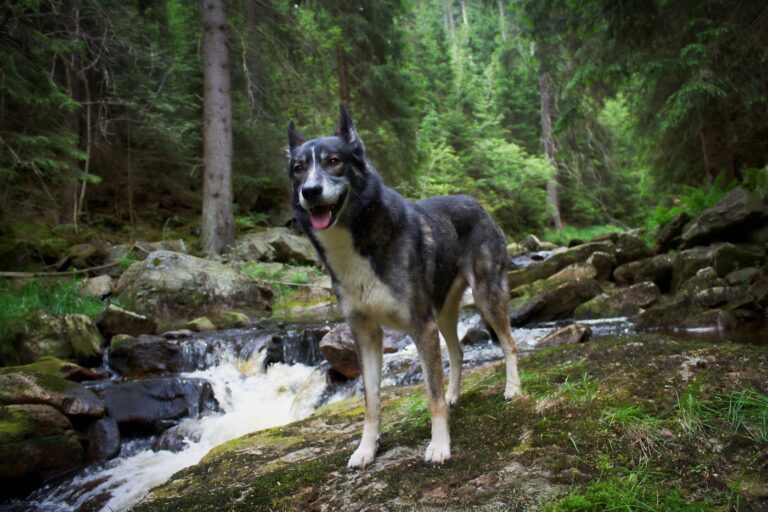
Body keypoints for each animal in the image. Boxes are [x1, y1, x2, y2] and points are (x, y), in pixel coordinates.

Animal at [288, 105, 520, 468]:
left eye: (334, 161)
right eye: (298, 169)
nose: (310, 191)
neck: (358, 240)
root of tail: (478, 204)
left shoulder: (420, 327)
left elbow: (431, 394)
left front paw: (439, 446)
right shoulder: (366, 334)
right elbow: (371, 401)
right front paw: (366, 449)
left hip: (485, 298)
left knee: (509, 343)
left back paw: (513, 389)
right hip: (443, 315)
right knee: (458, 352)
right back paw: (455, 395)